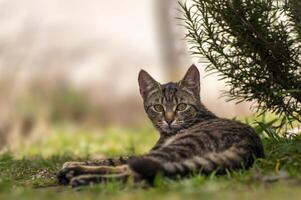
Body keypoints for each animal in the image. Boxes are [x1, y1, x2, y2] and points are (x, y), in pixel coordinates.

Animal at [56, 64, 262, 188]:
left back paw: (81, 177)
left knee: (132, 172)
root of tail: (250, 146)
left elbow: (115, 159)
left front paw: (74, 164)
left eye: (181, 106)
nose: (169, 120)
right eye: (158, 107)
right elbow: (115, 159)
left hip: (179, 146)